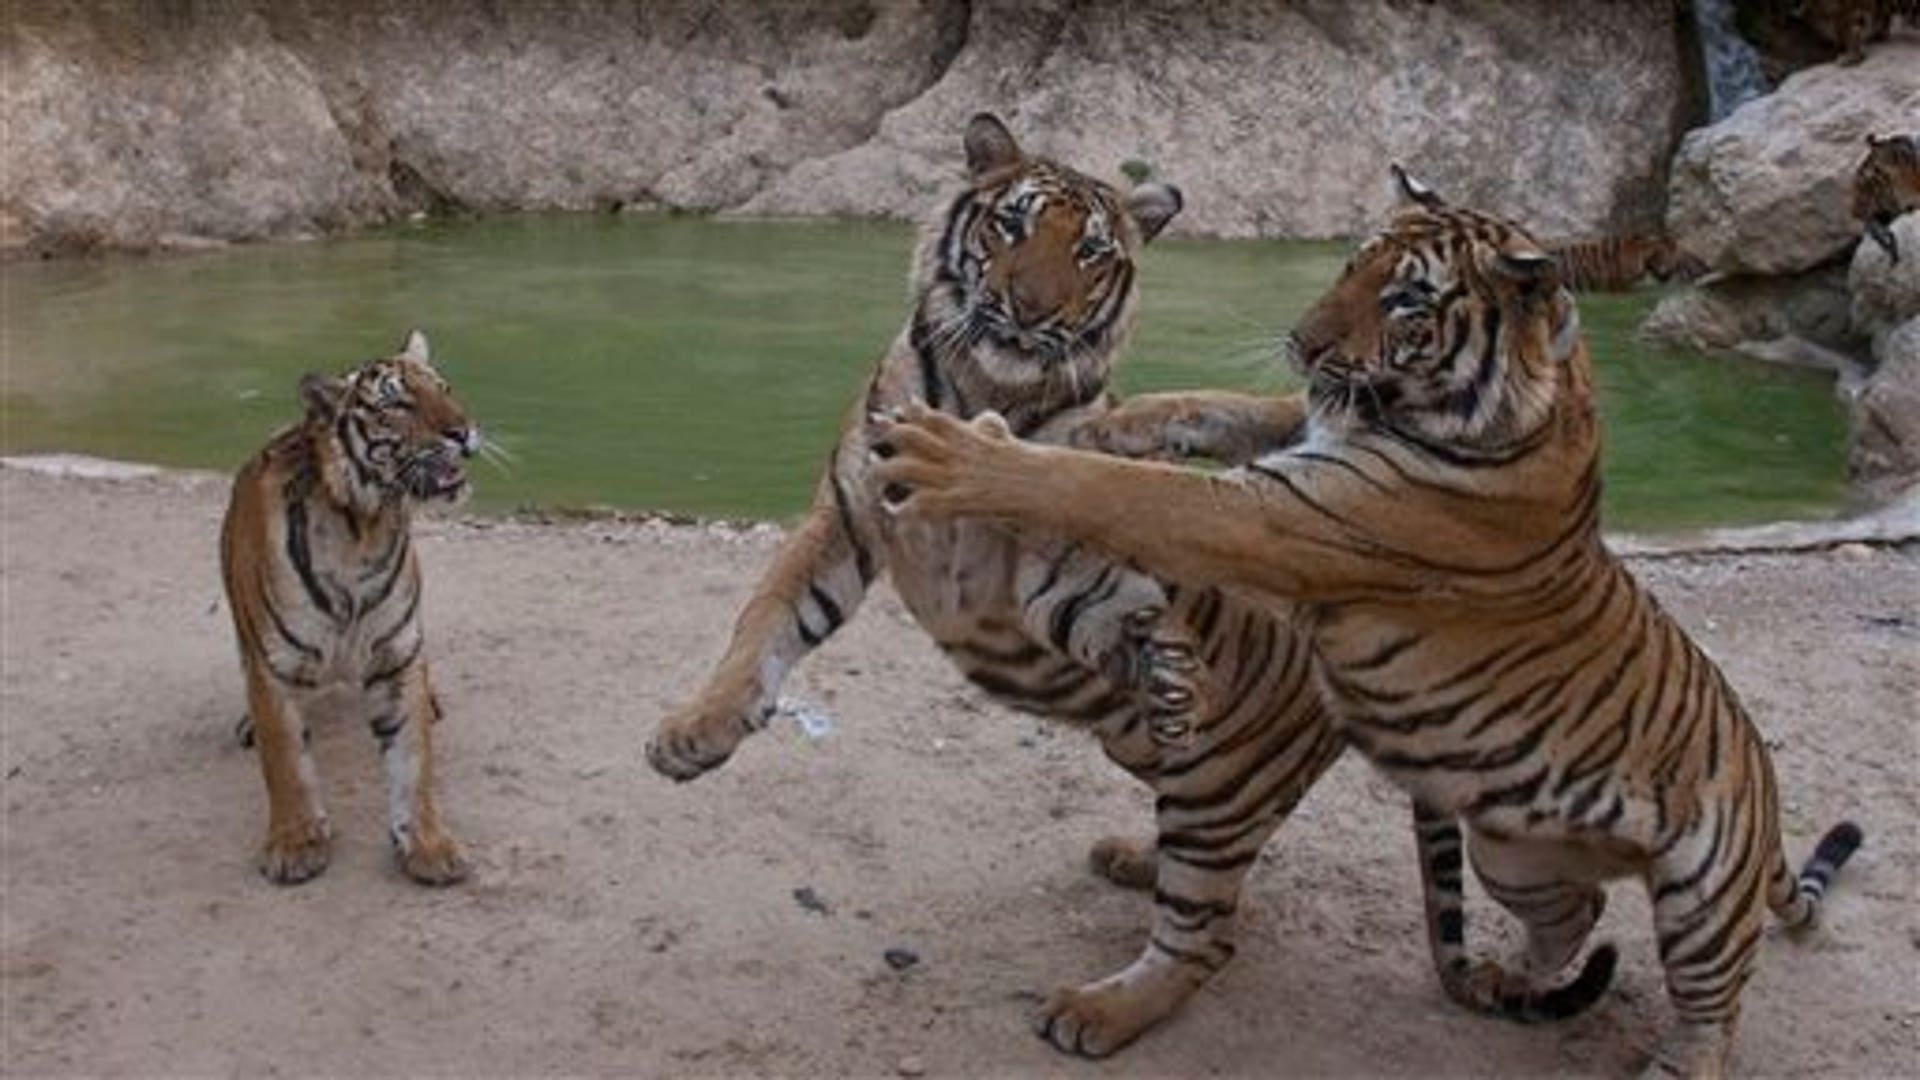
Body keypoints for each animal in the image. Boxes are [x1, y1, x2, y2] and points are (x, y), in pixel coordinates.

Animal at [220, 330, 477, 887]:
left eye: (445, 388)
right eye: (398, 403)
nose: (463, 430)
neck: (364, 526)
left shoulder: (398, 656)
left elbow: (412, 763)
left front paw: (429, 845)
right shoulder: (274, 668)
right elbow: (286, 763)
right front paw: (295, 844)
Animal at [649, 112, 1461, 1058]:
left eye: (1090, 252)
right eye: (1012, 226)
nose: (1031, 309)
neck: (983, 386)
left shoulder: (1048, 562)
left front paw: (1166, 655)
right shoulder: (843, 523)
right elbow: (764, 620)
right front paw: (695, 734)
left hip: (1218, 786)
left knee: (1207, 929)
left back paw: (1098, 1010)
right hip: (1157, 761)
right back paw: (1135, 859)